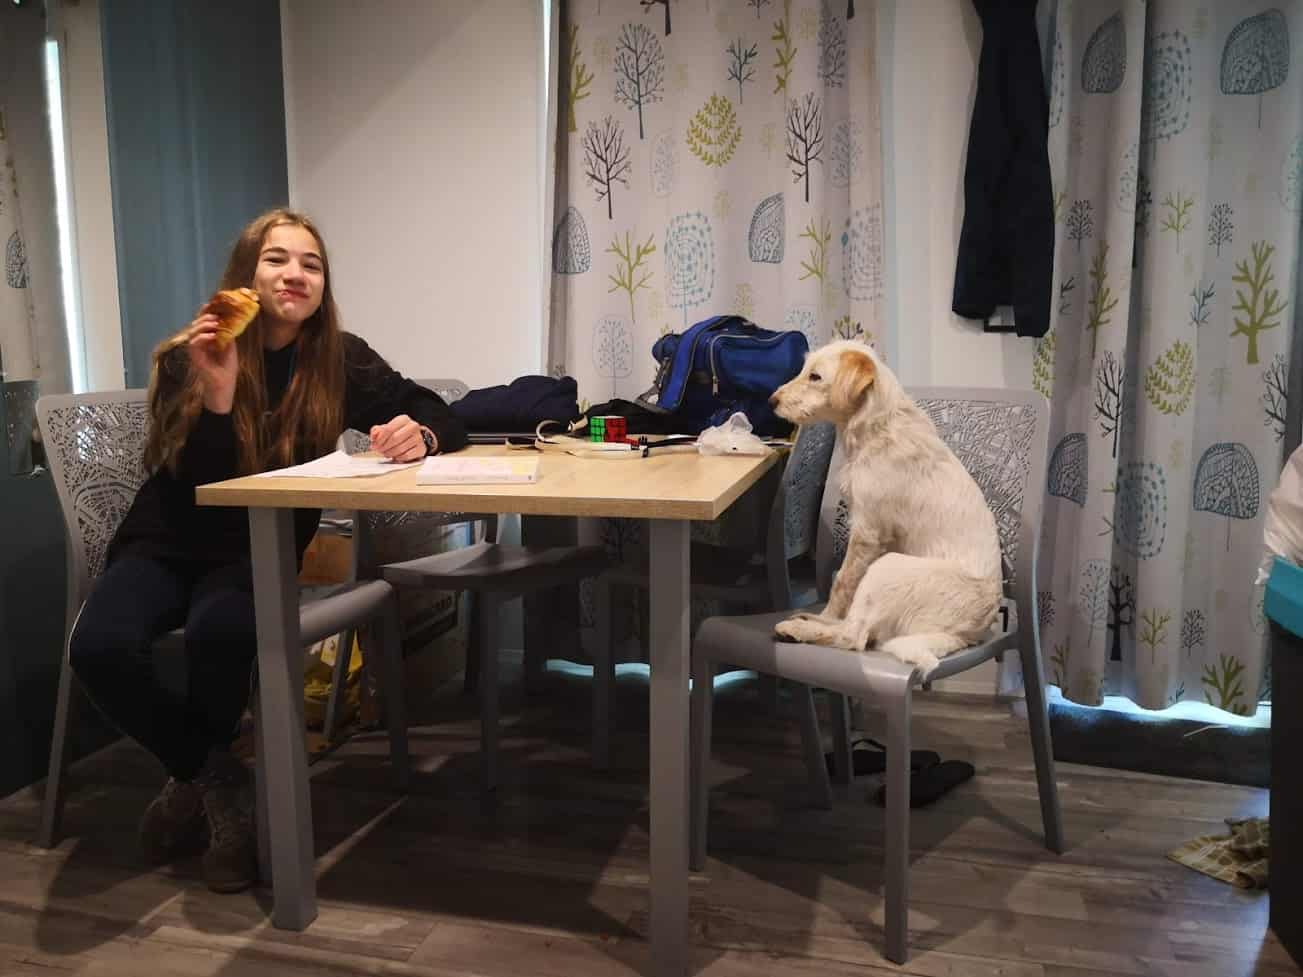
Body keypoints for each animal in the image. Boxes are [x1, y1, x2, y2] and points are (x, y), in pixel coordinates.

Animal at [770, 341, 1003, 674]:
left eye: (815, 376)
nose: (771, 401)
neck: (877, 428)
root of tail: (965, 635)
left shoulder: (867, 534)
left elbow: (842, 583)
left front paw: (826, 614)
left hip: (887, 566)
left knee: (853, 636)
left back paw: (799, 628)